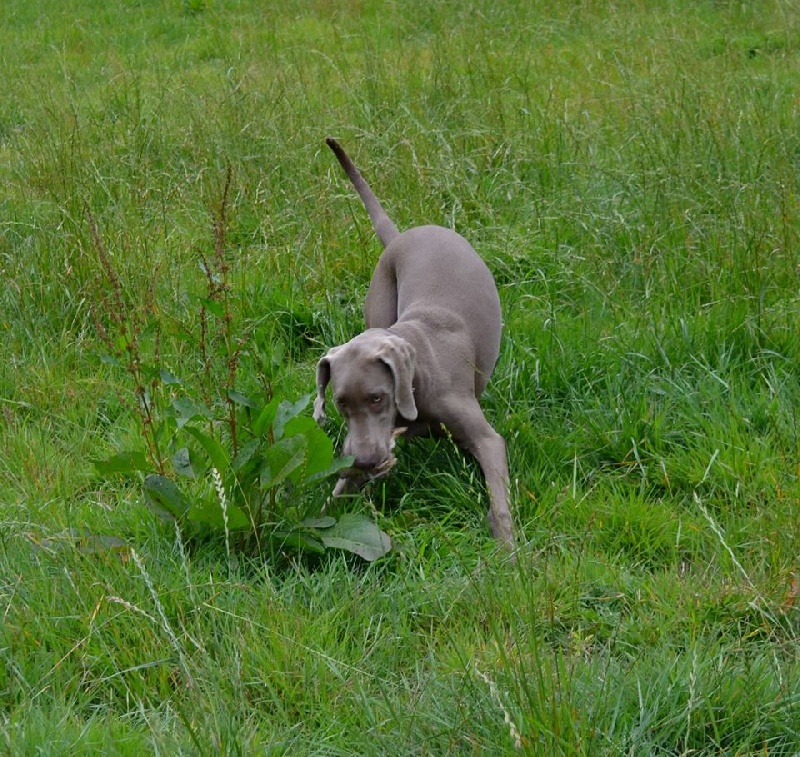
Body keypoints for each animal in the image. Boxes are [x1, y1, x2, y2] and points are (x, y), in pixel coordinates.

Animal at [312, 137, 512, 548]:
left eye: (377, 398)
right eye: (340, 403)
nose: (365, 461)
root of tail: (402, 235)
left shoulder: (487, 440)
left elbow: (498, 494)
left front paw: (510, 550)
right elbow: (336, 499)